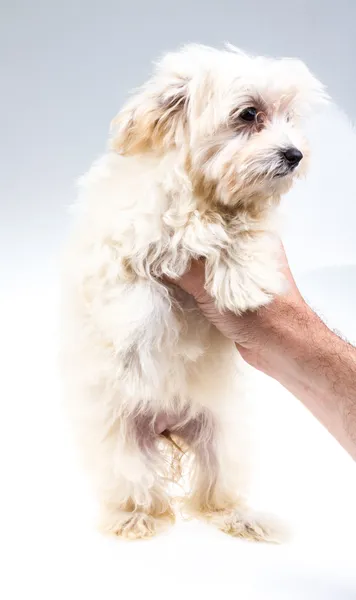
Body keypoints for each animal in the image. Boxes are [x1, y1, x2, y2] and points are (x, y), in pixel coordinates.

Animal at [61, 44, 326, 540]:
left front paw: (242, 282)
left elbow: (244, 231)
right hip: (121, 444)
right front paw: (135, 345)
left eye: (290, 117)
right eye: (249, 114)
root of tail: (168, 426)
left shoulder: (248, 222)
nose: (295, 154)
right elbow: (139, 295)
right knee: (139, 487)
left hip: (223, 439)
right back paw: (135, 518)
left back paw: (244, 519)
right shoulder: (124, 240)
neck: (202, 198)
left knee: (215, 492)